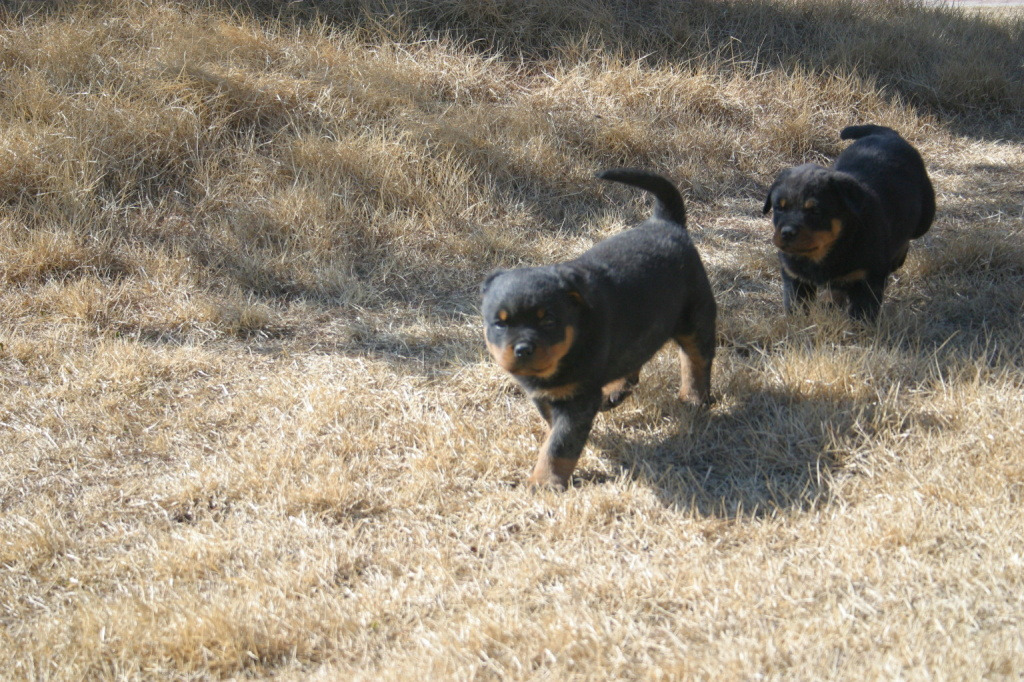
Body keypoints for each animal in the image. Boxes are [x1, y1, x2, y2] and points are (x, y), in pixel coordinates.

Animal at [477, 169, 712, 489]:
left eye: (548, 320)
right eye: (500, 323)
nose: (523, 348)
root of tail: (665, 222)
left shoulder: (577, 398)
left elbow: (559, 445)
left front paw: (544, 483)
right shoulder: (545, 396)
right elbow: (554, 429)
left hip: (695, 318)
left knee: (696, 359)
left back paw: (694, 398)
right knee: (634, 356)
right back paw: (617, 390)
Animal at [761, 123, 937, 319]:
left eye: (815, 211)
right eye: (779, 207)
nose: (786, 233)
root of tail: (887, 133)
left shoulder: (867, 280)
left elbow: (861, 316)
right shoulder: (794, 277)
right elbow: (796, 308)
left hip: (924, 218)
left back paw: (896, 259)